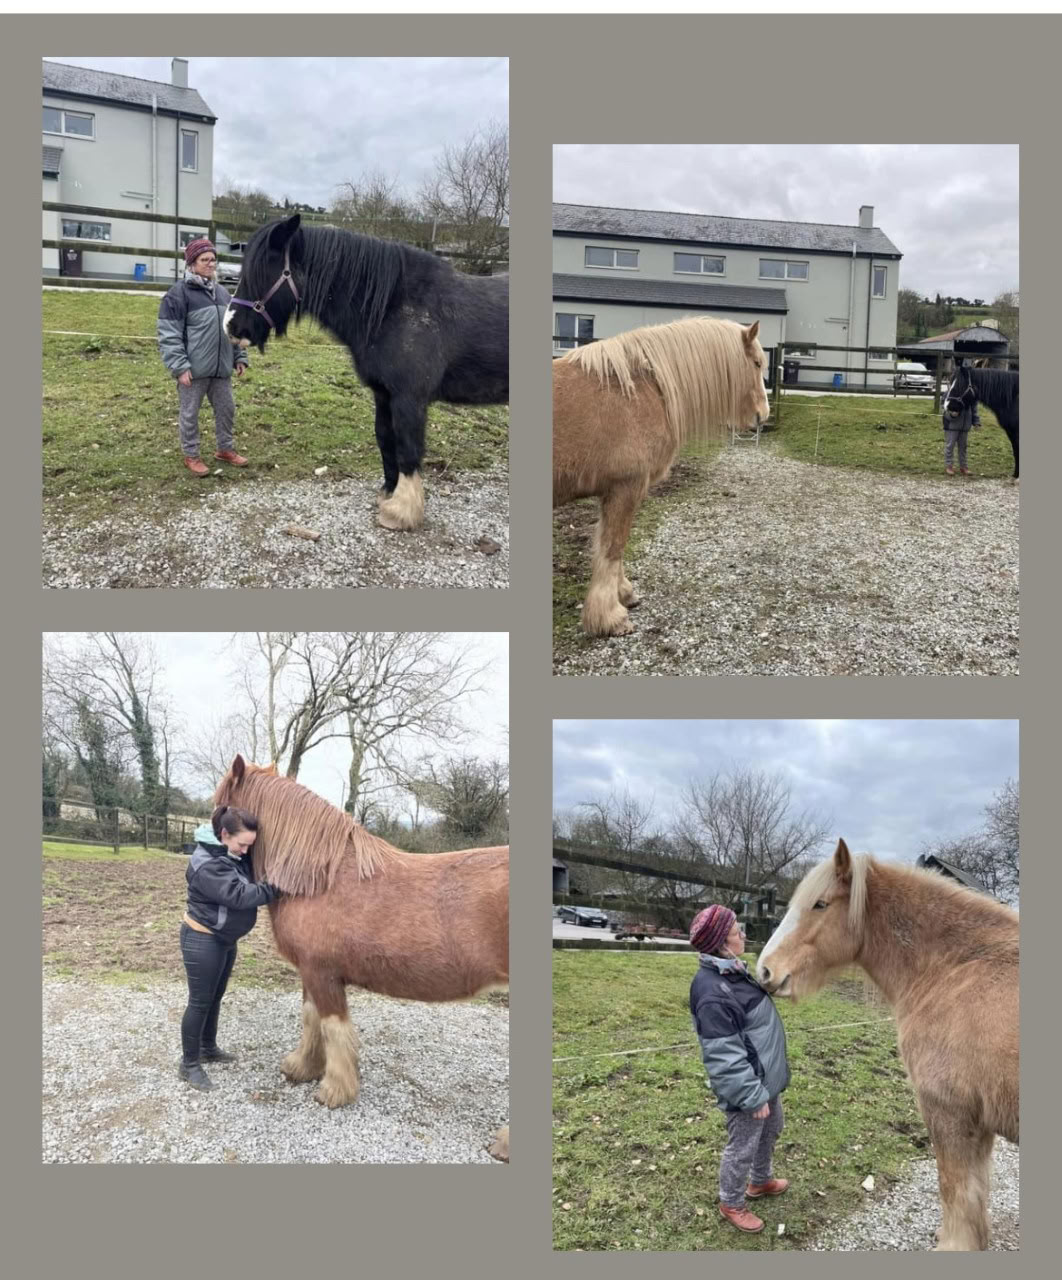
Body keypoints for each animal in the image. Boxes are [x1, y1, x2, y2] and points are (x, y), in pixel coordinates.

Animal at [212, 755, 509, 1161]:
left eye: (220, 802)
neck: (320, 877)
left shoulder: (322, 975)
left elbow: (332, 1028)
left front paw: (334, 1091)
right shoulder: (311, 974)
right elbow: (311, 1021)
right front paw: (301, 1067)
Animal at [223, 214, 509, 531]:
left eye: (262, 270)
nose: (231, 326)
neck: (393, 307)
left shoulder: (409, 399)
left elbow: (407, 448)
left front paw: (401, 512)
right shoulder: (383, 395)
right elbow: (385, 440)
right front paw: (388, 494)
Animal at [553, 316, 770, 637]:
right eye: (756, 363)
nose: (763, 416)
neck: (637, 390)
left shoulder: (612, 492)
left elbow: (608, 545)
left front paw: (624, 594)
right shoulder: (625, 487)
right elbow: (613, 547)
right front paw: (610, 617)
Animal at [757, 839, 1018, 1250]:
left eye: (820, 904)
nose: (765, 970)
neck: (955, 968)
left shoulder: (950, 1114)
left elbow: (957, 1193)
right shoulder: (979, 1125)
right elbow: (974, 1197)